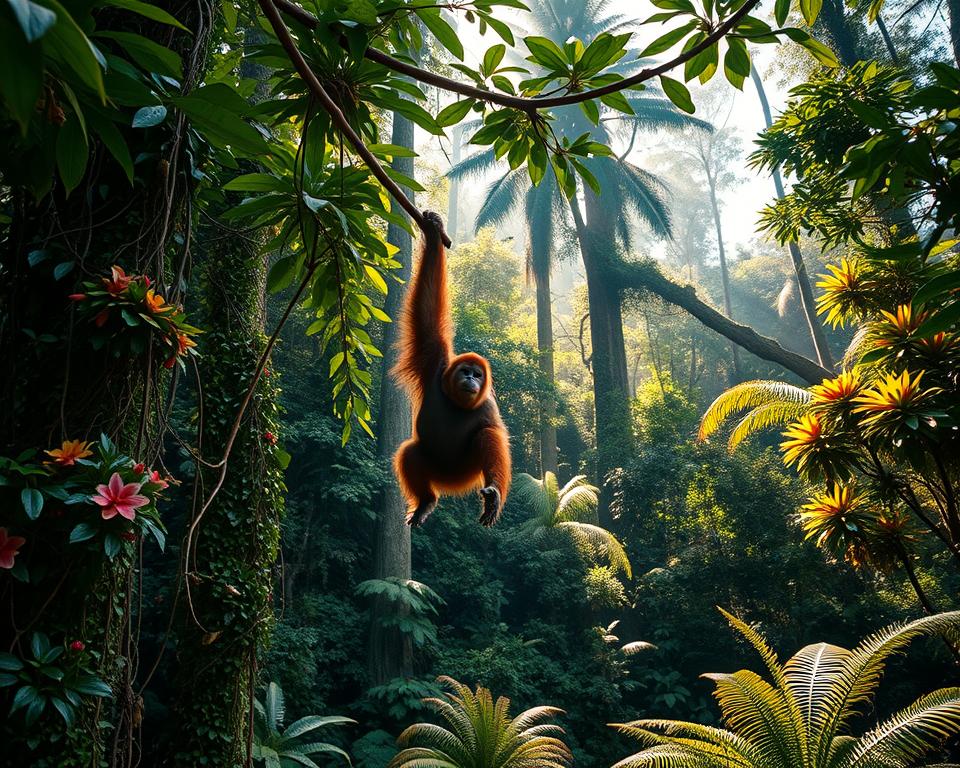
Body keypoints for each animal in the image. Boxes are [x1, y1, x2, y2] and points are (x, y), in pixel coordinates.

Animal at [392, 211, 511, 528]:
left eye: (478, 375)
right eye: (465, 371)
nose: (471, 379)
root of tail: (445, 484)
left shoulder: (488, 407)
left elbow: (495, 435)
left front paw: (495, 496)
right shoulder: (435, 362)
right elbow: (427, 314)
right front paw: (434, 234)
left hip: (464, 475)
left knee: (486, 437)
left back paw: (489, 494)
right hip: (437, 471)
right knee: (411, 451)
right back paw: (425, 501)